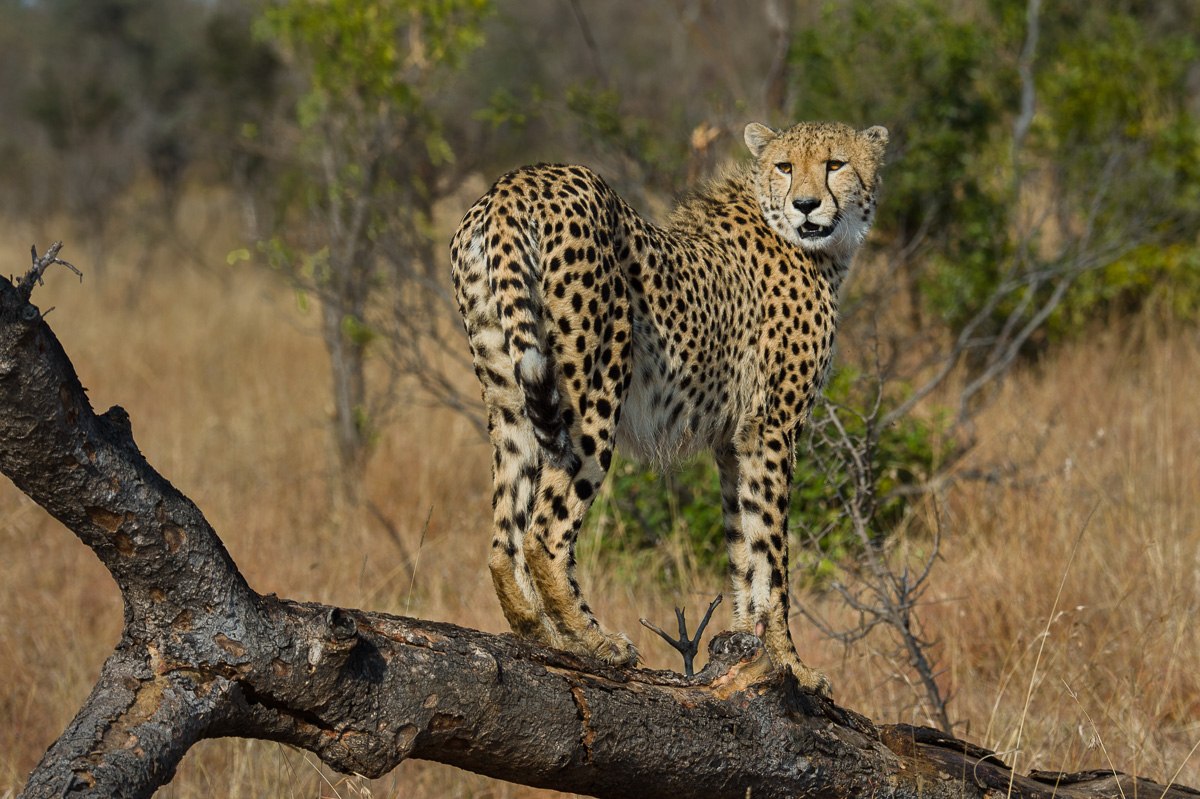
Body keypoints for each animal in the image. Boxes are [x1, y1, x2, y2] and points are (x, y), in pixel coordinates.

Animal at [450, 120, 888, 696]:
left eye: (836, 164)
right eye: (786, 166)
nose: (807, 205)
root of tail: (518, 181)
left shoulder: (734, 441)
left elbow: (744, 546)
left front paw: (749, 649)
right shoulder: (773, 428)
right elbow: (773, 555)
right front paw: (791, 665)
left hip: (509, 396)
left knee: (504, 541)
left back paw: (542, 635)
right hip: (595, 391)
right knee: (543, 533)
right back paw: (594, 641)